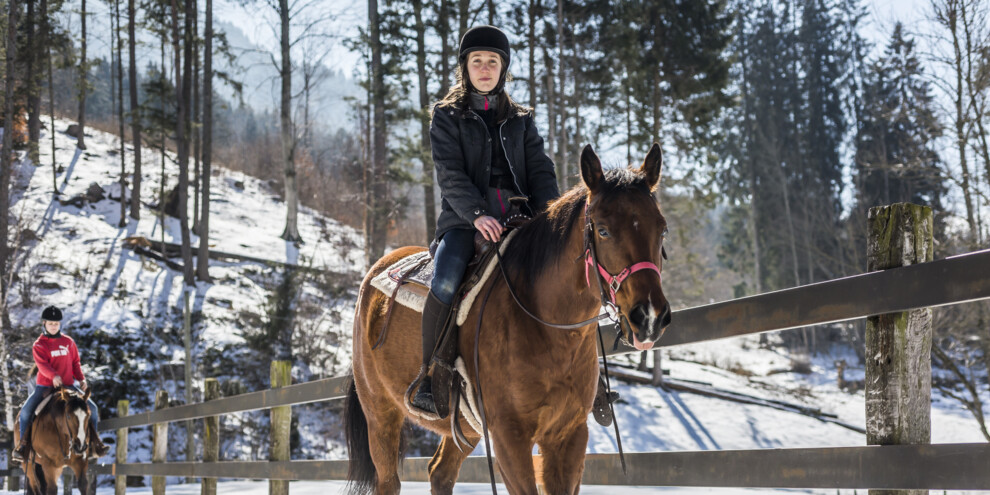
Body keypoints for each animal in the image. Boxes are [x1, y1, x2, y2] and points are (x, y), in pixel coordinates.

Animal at [344, 144, 672, 495]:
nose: (649, 316)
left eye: (662, 229)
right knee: (389, 480)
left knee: (440, 473)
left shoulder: (568, 435)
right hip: (380, 414)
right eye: (603, 230)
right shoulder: (509, 438)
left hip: (465, 428)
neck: (547, 330)